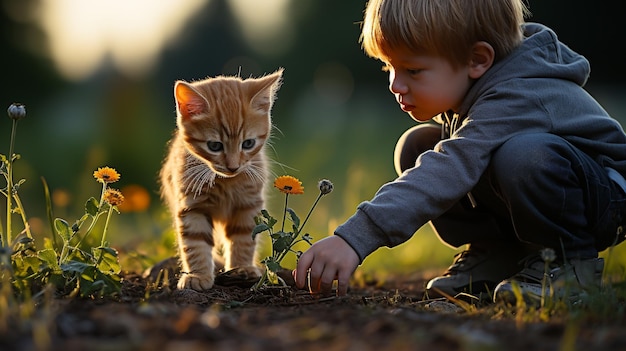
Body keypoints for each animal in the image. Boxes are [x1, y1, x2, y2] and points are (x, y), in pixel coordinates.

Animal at [158, 69, 282, 292]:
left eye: (248, 144)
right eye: (214, 146)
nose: (233, 167)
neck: (225, 182)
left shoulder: (248, 204)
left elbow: (244, 237)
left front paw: (242, 268)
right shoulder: (191, 206)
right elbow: (195, 243)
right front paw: (198, 275)